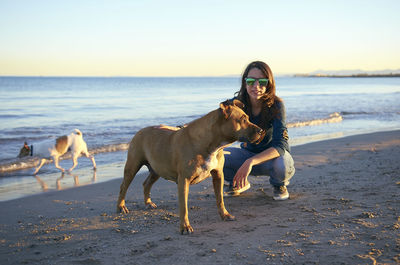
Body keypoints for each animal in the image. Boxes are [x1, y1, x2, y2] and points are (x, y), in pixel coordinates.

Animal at [116, 99, 266, 233]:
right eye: (243, 119)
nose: (261, 131)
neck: (213, 144)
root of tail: (140, 130)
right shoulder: (184, 180)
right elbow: (184, 208)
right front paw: (185, 227)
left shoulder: (218, 175)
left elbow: (220, 199)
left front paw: (225, 215)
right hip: (132, 167)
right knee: (123, 186)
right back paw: (121, 207)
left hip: (157, 169)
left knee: (146, 183)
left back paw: (148, 203)